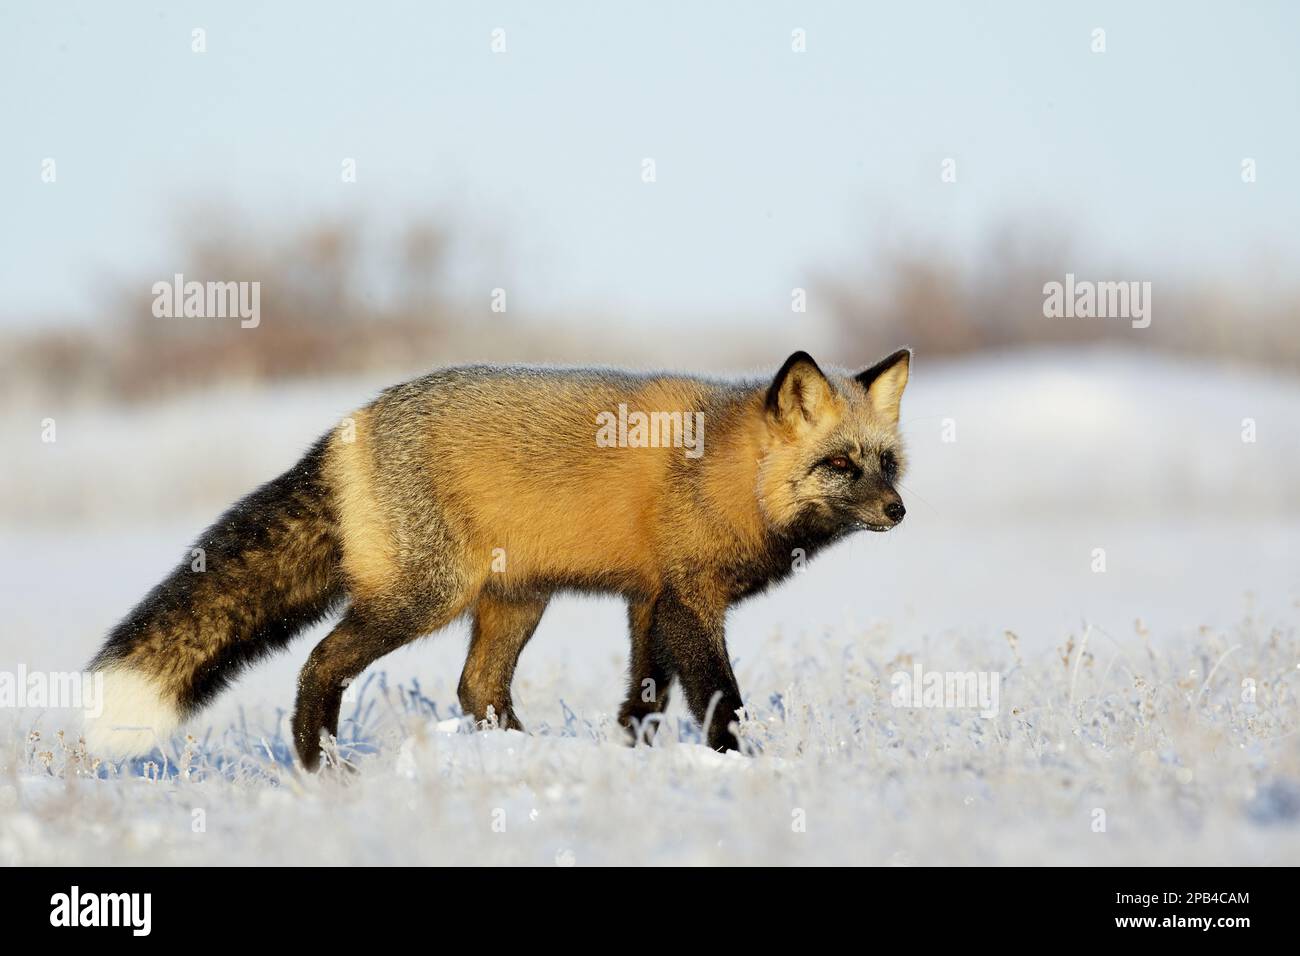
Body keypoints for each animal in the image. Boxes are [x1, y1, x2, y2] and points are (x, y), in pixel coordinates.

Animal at [85, 348, 911, 769]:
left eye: (887, 464)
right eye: (841, 465)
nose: (898, 511)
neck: (723, 470)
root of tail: (350, 423)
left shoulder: (648, 599)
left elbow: (643, 700)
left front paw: (630, 761)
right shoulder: (689, 600)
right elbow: (720, 698)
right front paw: (739, 765)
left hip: (514, 601)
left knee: (475, 688)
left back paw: (525, 757)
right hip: (429, 597)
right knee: (322, 662)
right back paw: (322, 766)